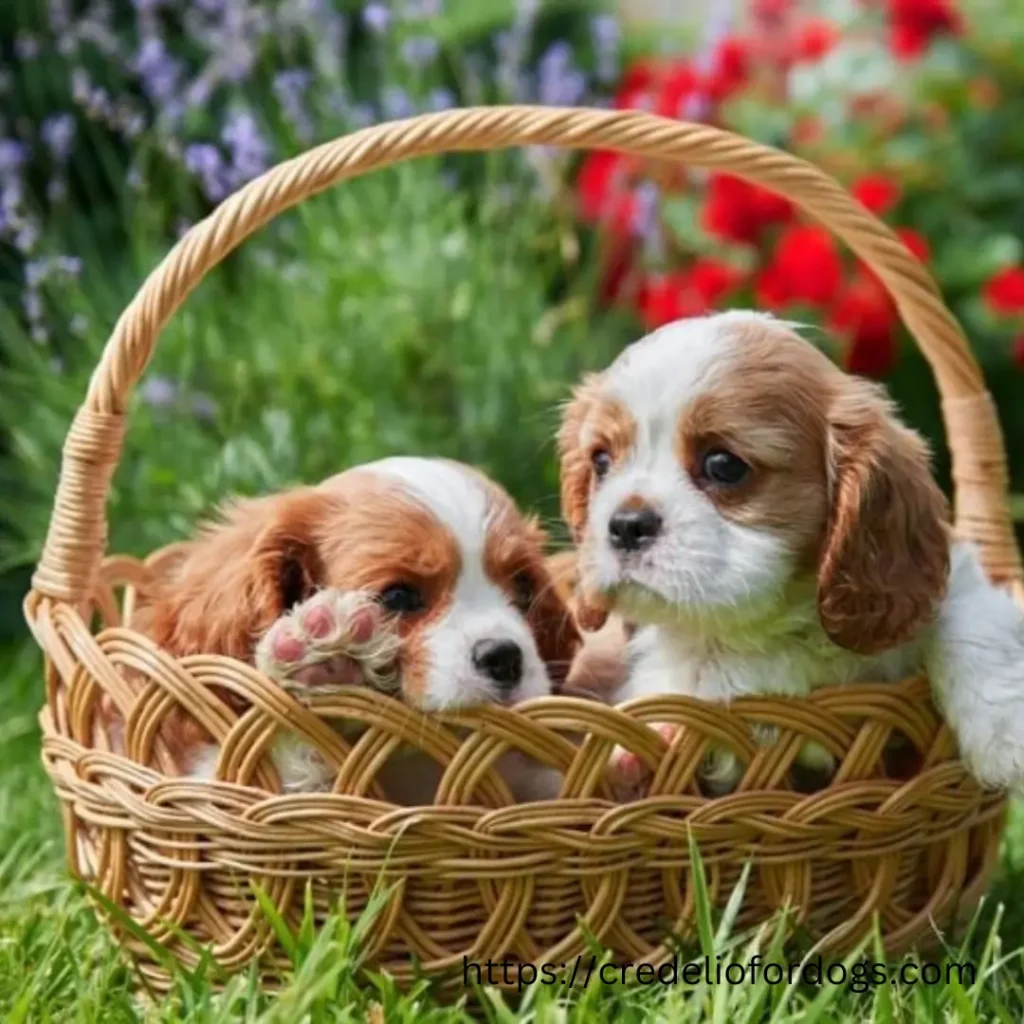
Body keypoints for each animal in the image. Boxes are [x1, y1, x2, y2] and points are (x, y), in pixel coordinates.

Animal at [561, 309, 1024, 790]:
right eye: (601, 462)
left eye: (723, 465)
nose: (627, 525)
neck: (771, 622)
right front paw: (652, 738)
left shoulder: (945, 584)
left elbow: (970, 618)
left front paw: (1004, 737)